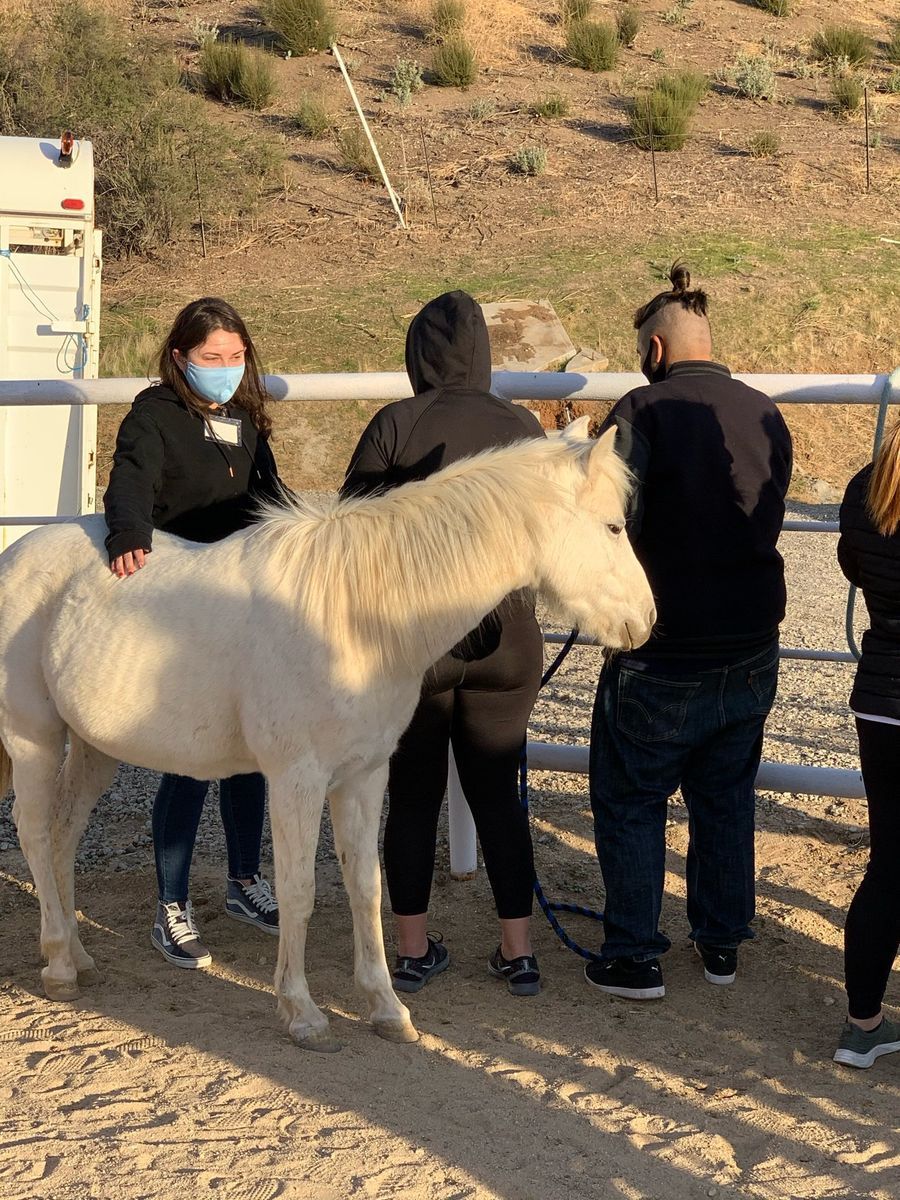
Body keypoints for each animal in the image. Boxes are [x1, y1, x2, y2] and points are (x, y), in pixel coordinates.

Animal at [0, 417, 654, 1051]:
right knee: (34, 832)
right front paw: (303, 1015)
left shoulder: (363, 775)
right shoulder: (297, 780)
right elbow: (298, 890)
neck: (351, 616)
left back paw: (79, 954)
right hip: (34, 738)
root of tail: (17, 555)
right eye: (613, 527)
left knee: (63, 835)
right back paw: (59, 966)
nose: (645, 621)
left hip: (92, 747)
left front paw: (387, 1009)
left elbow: (367, 887)